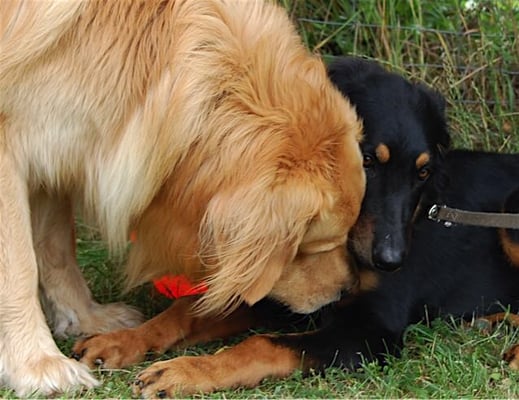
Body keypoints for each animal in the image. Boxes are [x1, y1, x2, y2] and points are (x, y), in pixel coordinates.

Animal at [0, 2, 365, 396]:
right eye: (310, 246)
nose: (347, 291)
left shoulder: (54, 138)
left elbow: (56, 247)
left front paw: (86, 317)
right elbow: (20, 267)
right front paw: (37, 364)